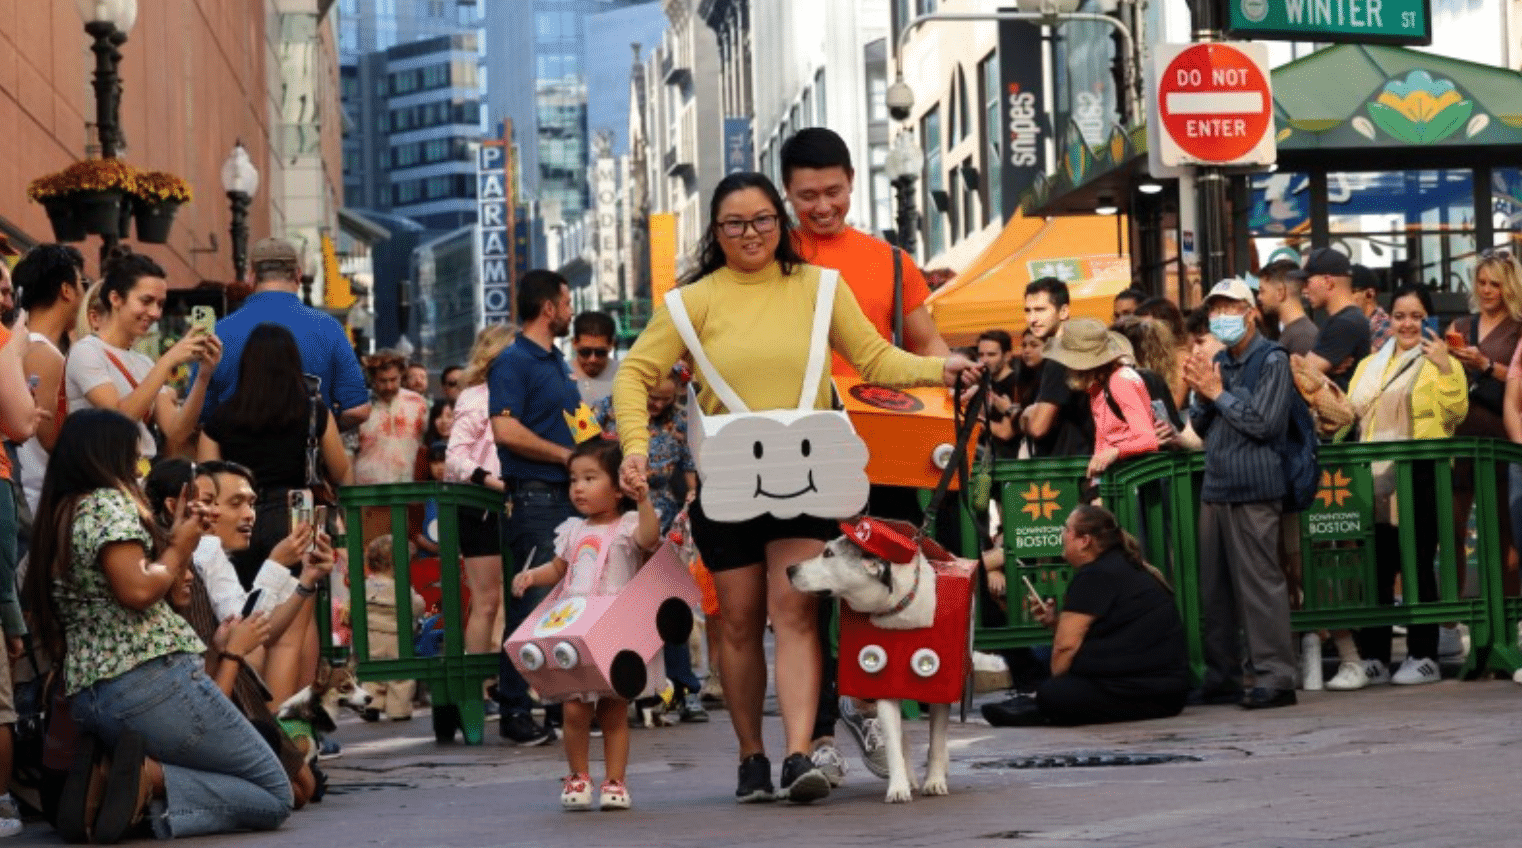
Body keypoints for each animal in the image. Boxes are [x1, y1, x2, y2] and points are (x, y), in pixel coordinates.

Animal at [785, 532, 949, 803]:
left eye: (828, 553)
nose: (789, 569)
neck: (898, 608)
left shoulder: (941, 688)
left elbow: (936, 741)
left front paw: (935, 781)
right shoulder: (884, 685)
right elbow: (893, 743)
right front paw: (898, 787)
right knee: (902, 738)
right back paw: (909, 778)